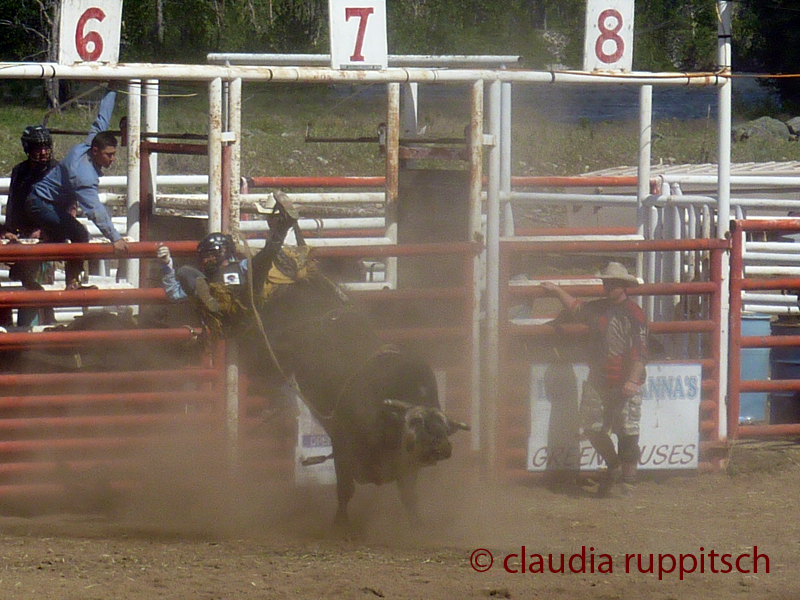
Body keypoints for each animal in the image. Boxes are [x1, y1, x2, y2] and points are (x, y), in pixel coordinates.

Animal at [244, 274, 468, 528]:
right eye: (416, 422)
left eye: (443, 425)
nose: (441, 446)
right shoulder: (342, 447)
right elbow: (345, 491)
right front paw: (340, 525)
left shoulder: (406, 466)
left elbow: (409, 497)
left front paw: (417, 525)